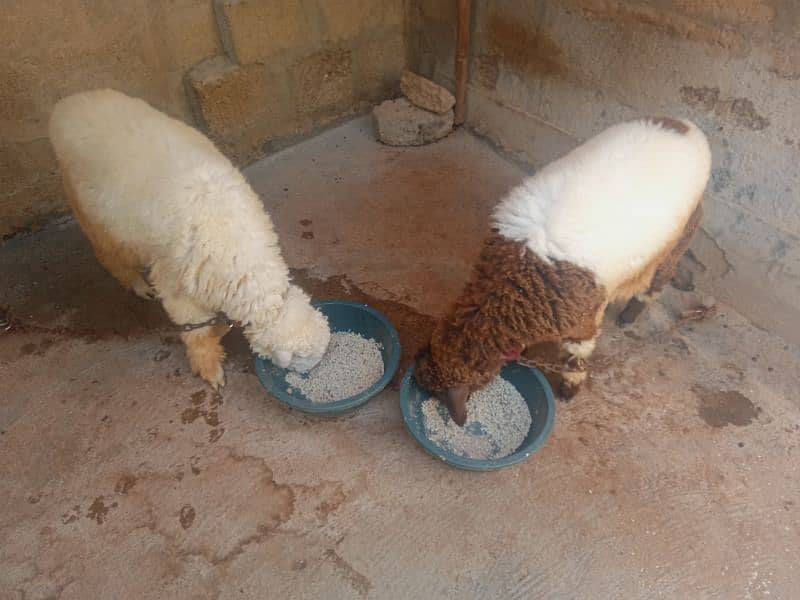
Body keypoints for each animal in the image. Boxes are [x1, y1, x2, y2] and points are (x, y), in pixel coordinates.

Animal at [48, 89, 330, 390]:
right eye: (302, 358)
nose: (311, 374)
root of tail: (65, 104)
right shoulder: (176, 281)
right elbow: (194, 327)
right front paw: (209, 366)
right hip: (90, 208)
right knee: (107, 252)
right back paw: (136, 283)